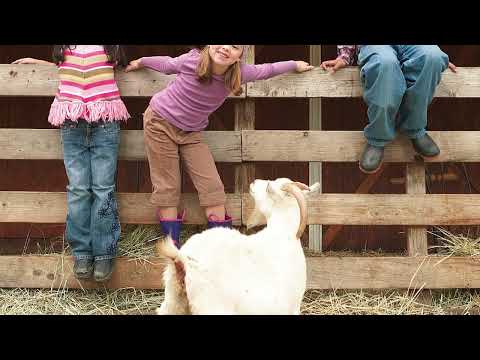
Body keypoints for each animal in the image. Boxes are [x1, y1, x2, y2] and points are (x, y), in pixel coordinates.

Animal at [155, 179, 318, 314]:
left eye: (267, 188)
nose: (253, 182)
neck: (283, 233)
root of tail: (183, 259)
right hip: (212, 307)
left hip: (173, 298)